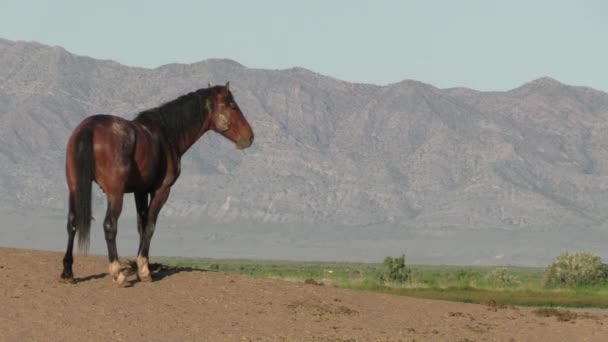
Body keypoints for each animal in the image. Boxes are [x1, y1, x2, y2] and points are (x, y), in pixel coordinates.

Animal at [60, 83, 254, 286]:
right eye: (232, 106)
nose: (249, 137)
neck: (167, 134)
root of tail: (89, 128)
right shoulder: (161, 191)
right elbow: (150, 226)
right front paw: (144, 271)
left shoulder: (140, 191)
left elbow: (141, 225)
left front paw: (140, 267)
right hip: (115, 194)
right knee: (109, 225)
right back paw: (117, 273)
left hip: (74, 188)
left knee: (72, 222)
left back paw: (67, 272)